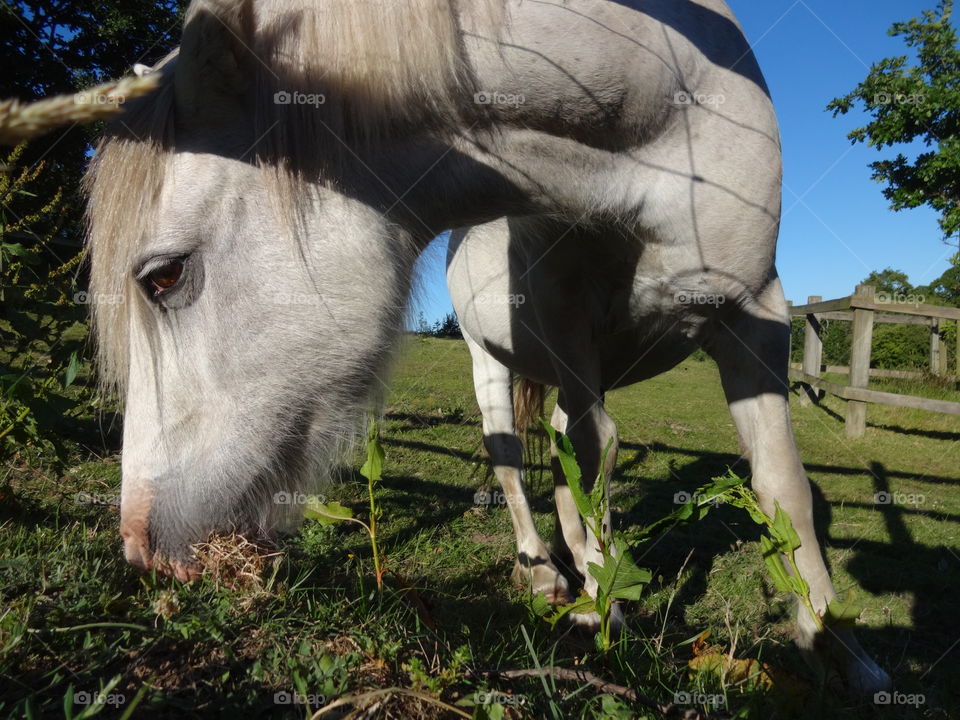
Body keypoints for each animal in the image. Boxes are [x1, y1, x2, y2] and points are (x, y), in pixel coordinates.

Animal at [86, 0, 888, 696]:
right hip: (490, 366)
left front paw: (837, 646)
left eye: (163, 276)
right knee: (514, 463)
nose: (139, 547)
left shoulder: (755, 313)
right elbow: (588, 460)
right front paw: (604, 616)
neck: (656, 136)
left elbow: (779, 486)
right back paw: (545, 571)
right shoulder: (570, 331)